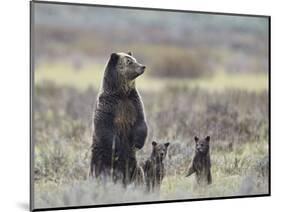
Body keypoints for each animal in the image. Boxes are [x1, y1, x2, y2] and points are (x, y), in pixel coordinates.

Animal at [89, 52, 147, 186]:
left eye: (135, 59)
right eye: (129, 61)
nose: (142, 66)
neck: (122, 94)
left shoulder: (134, 103)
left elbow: (140, 123)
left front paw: (137, 143)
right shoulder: (108, 106)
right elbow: (105, 128)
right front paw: (117, 147)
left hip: (132, 164)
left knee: (138, 173)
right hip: (100, 159)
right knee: (99, 172)